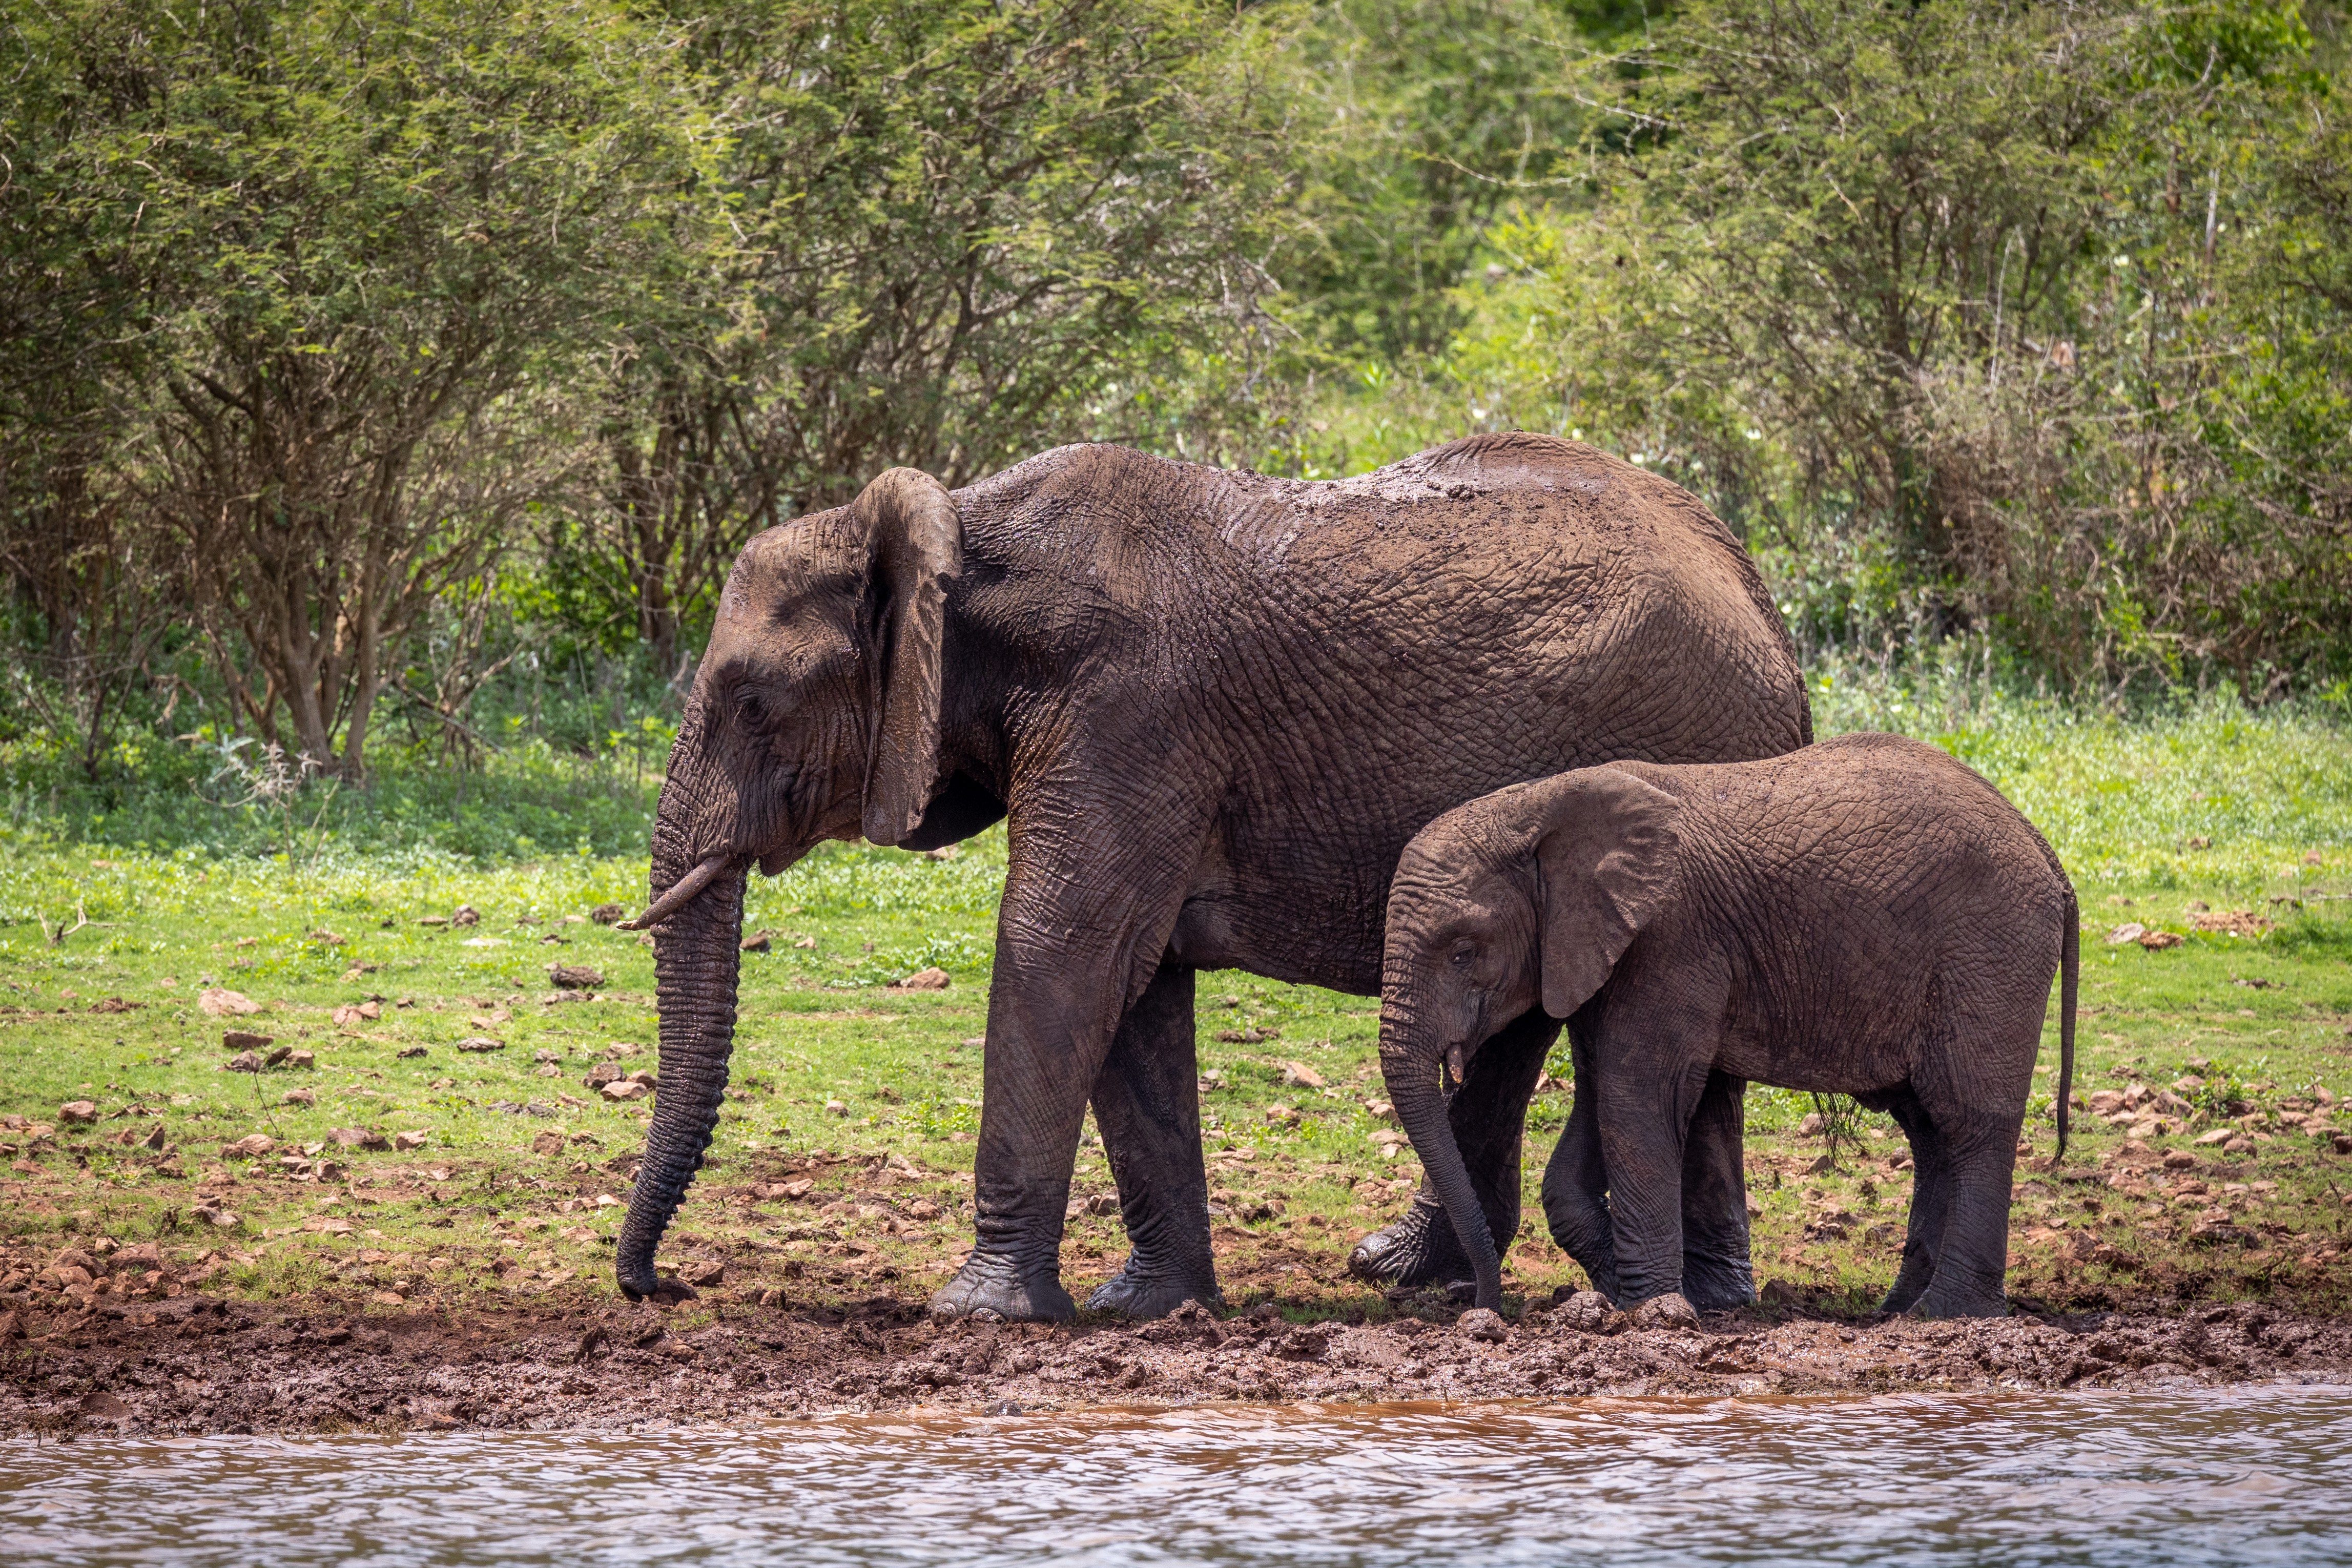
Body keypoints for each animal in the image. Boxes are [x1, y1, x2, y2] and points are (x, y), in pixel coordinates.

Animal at [616, 432, 1812, 1320]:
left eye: (754, 703)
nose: (657, 1287)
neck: (963, 530)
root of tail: (1763, 603)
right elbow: (1133, 991)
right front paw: (1148, 1308)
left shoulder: (1128, 717)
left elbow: (1061, 953)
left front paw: (977, 1314)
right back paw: (1409, 1273)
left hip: (1692, 751)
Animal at [1377, 732, 2078, 1319]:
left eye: (1463, 951)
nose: (1482, 1305)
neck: (1537, 806)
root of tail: (2045, 849)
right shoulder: (1595, 952)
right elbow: (1602, 1094)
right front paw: (1635, 1290)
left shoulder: (1670, 939)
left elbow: (1639, 1096)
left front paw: (1653, 1309)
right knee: (1930, 1130)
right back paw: (1898, 1310)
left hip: (1990, 952)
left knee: (1970, 1122)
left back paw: (1946, 1315)